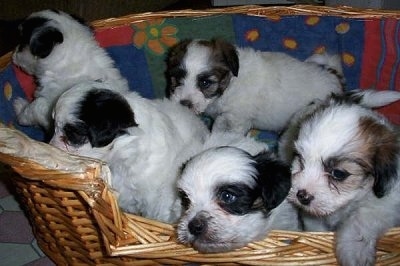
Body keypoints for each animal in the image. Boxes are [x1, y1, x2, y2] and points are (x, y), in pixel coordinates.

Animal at [166, 38, 344, 135]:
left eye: (205, 83)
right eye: (177, 78)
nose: (184, 104)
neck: (230, 85)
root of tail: (334, 76)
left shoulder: (237, 119)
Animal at [282, 90, 400, 266]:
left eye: (338, 173)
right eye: (301, 160)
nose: (302, 195)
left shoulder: (385, 203)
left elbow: (362, 219)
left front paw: (355, 250)